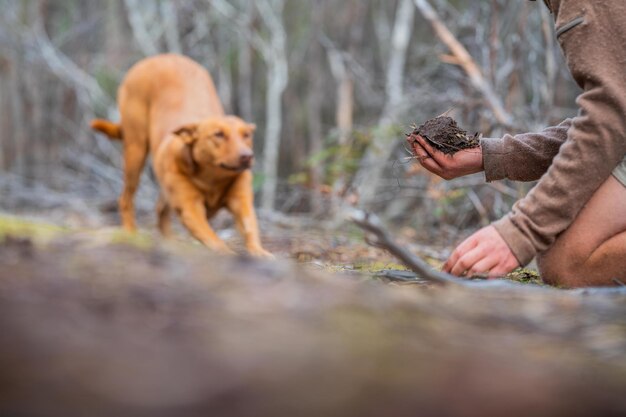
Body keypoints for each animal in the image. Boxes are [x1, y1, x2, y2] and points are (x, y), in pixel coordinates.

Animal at [91, 54, 270, 256]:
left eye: (246, 135)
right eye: (218, 134)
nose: (247, 156)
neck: (213, 178)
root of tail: (160, 57)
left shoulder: (242, 204)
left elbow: (250, 230)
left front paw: (260, 253)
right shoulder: (190, 209)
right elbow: (215, 240)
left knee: (161, 210)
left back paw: (170, 244)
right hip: (135, 151)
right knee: (126, 199)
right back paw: (131, 235)